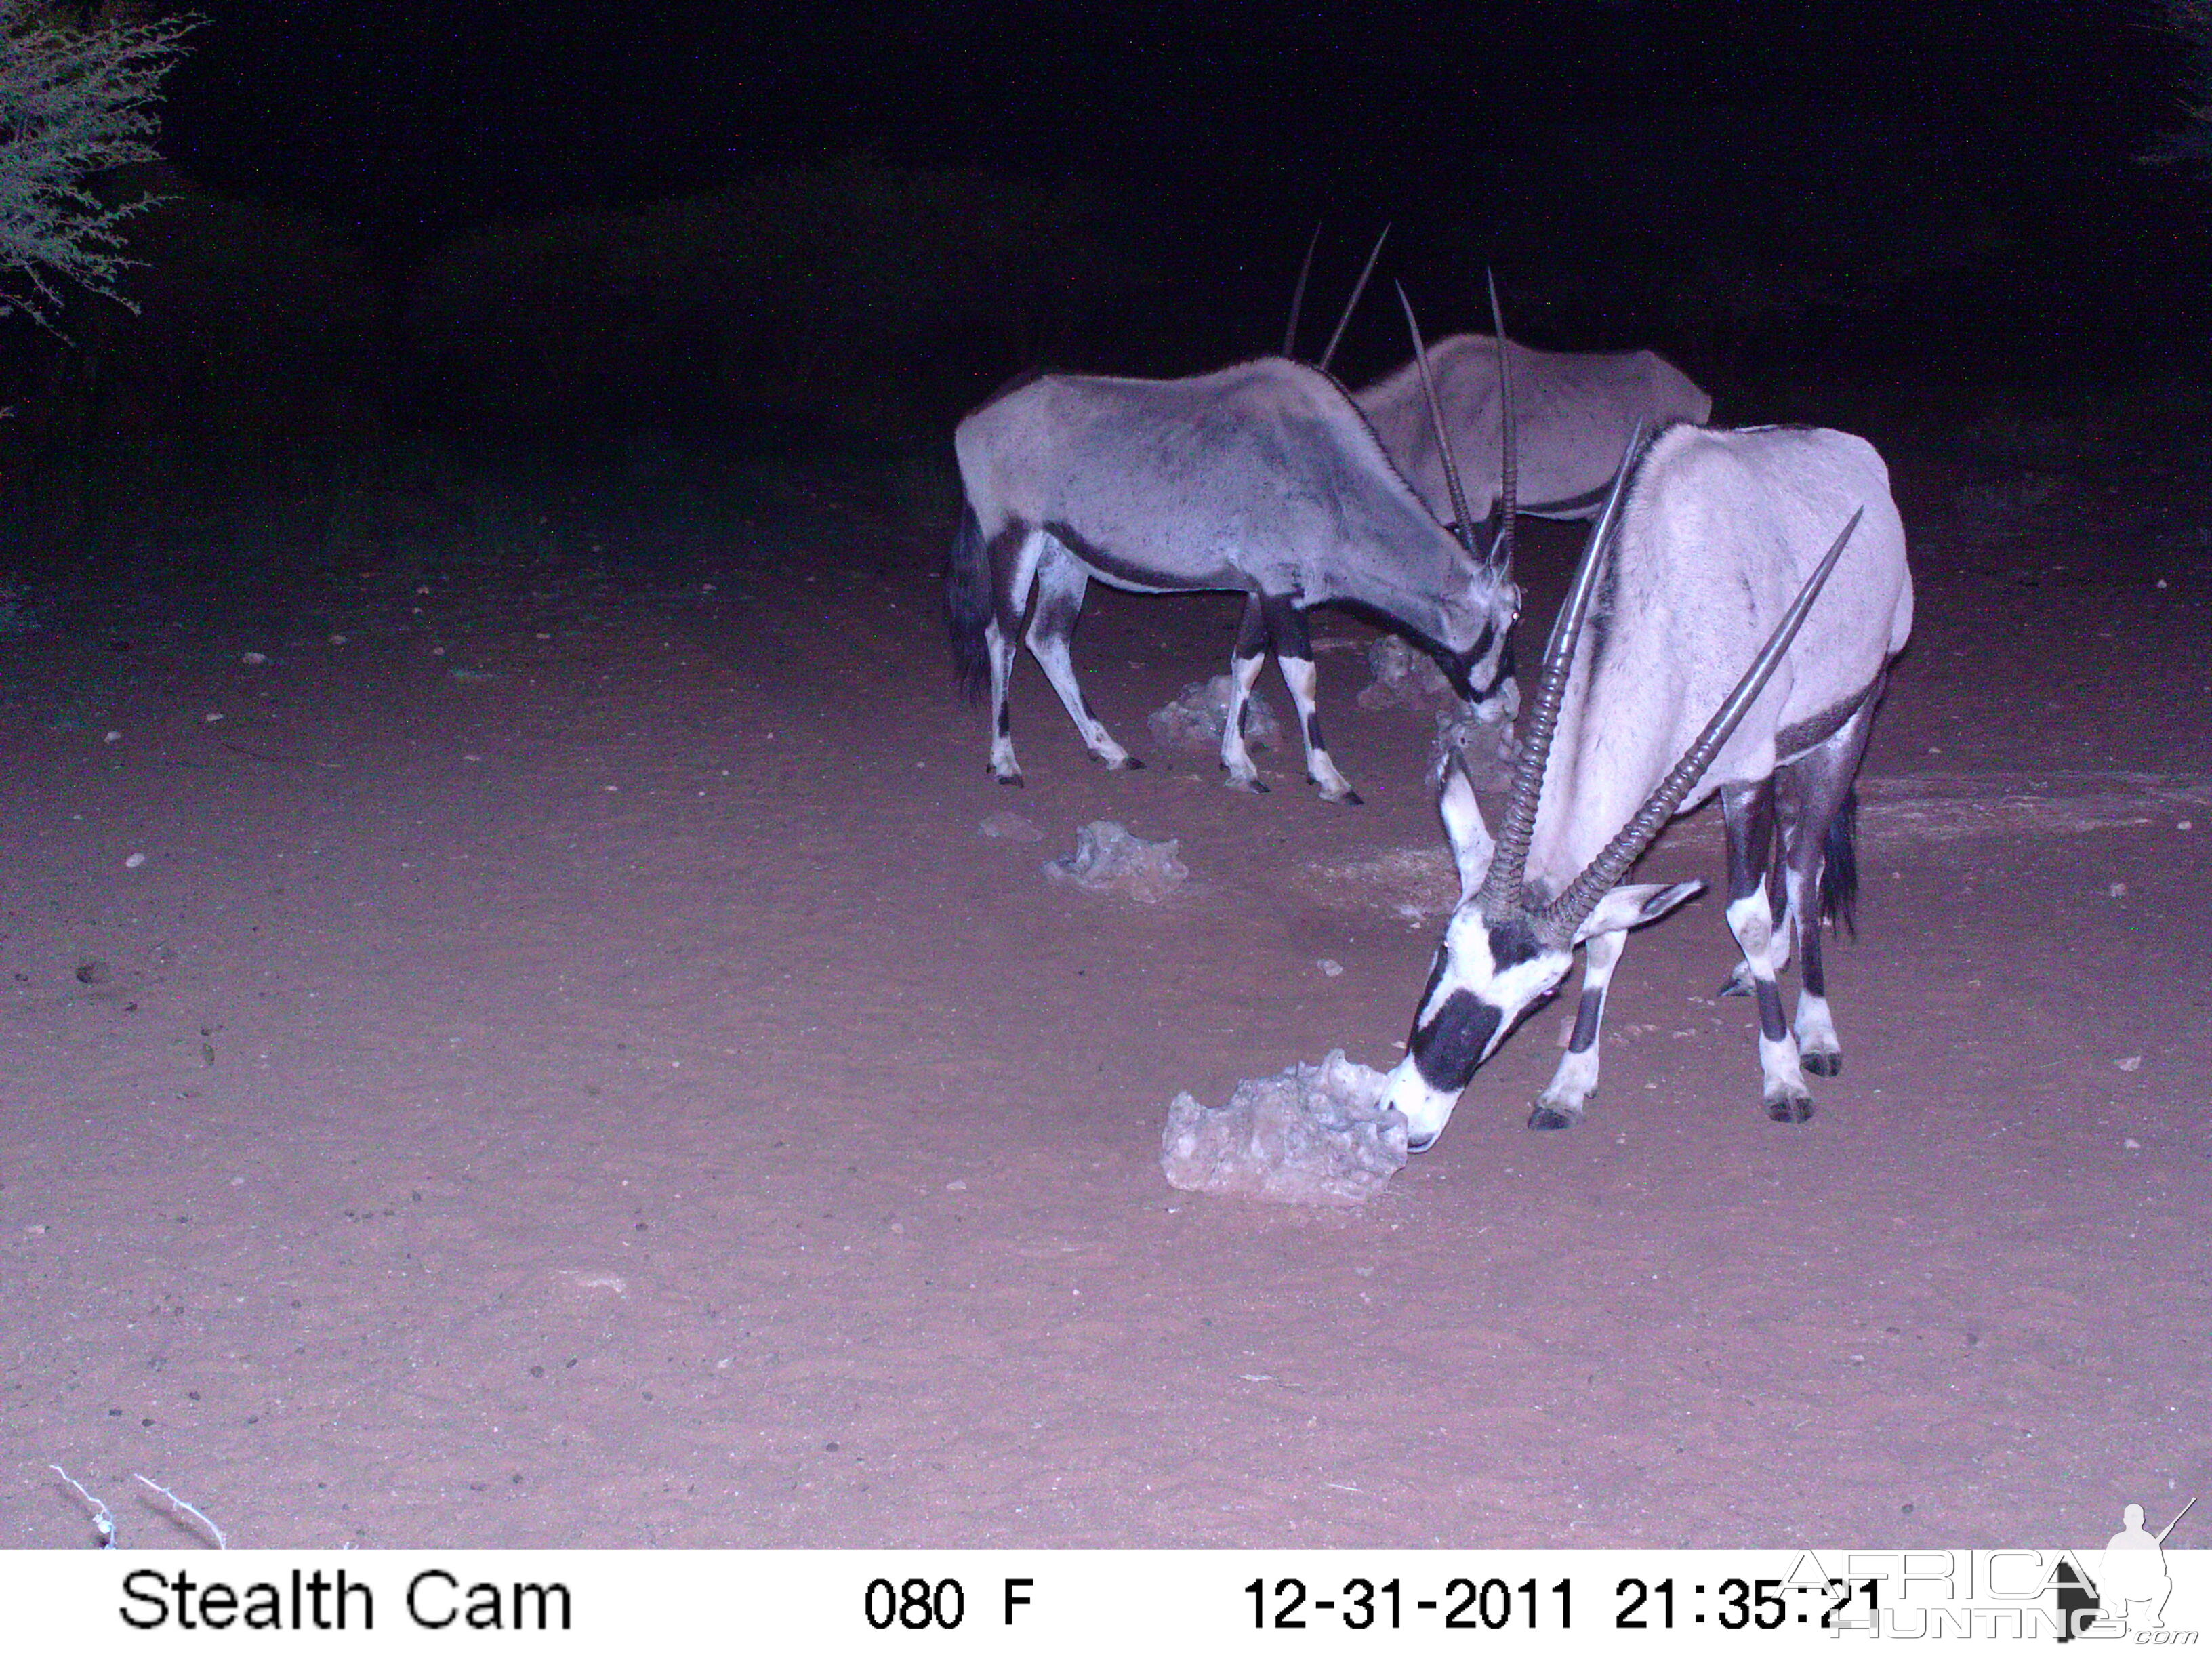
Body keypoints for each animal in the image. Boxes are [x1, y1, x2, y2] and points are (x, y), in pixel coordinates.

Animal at [1380, 415, 1920, 1150]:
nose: (1406, 1117)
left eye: (1543, 993)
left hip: (1850, 720)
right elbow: (1612, 935)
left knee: (1804, 862)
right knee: (1791, 851)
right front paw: (1569, 1085)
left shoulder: (1744, 775)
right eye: (1443, 947)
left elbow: (1746, 915)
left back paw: (1814, 1026)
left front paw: (1783, 1077)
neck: (1663, 584)